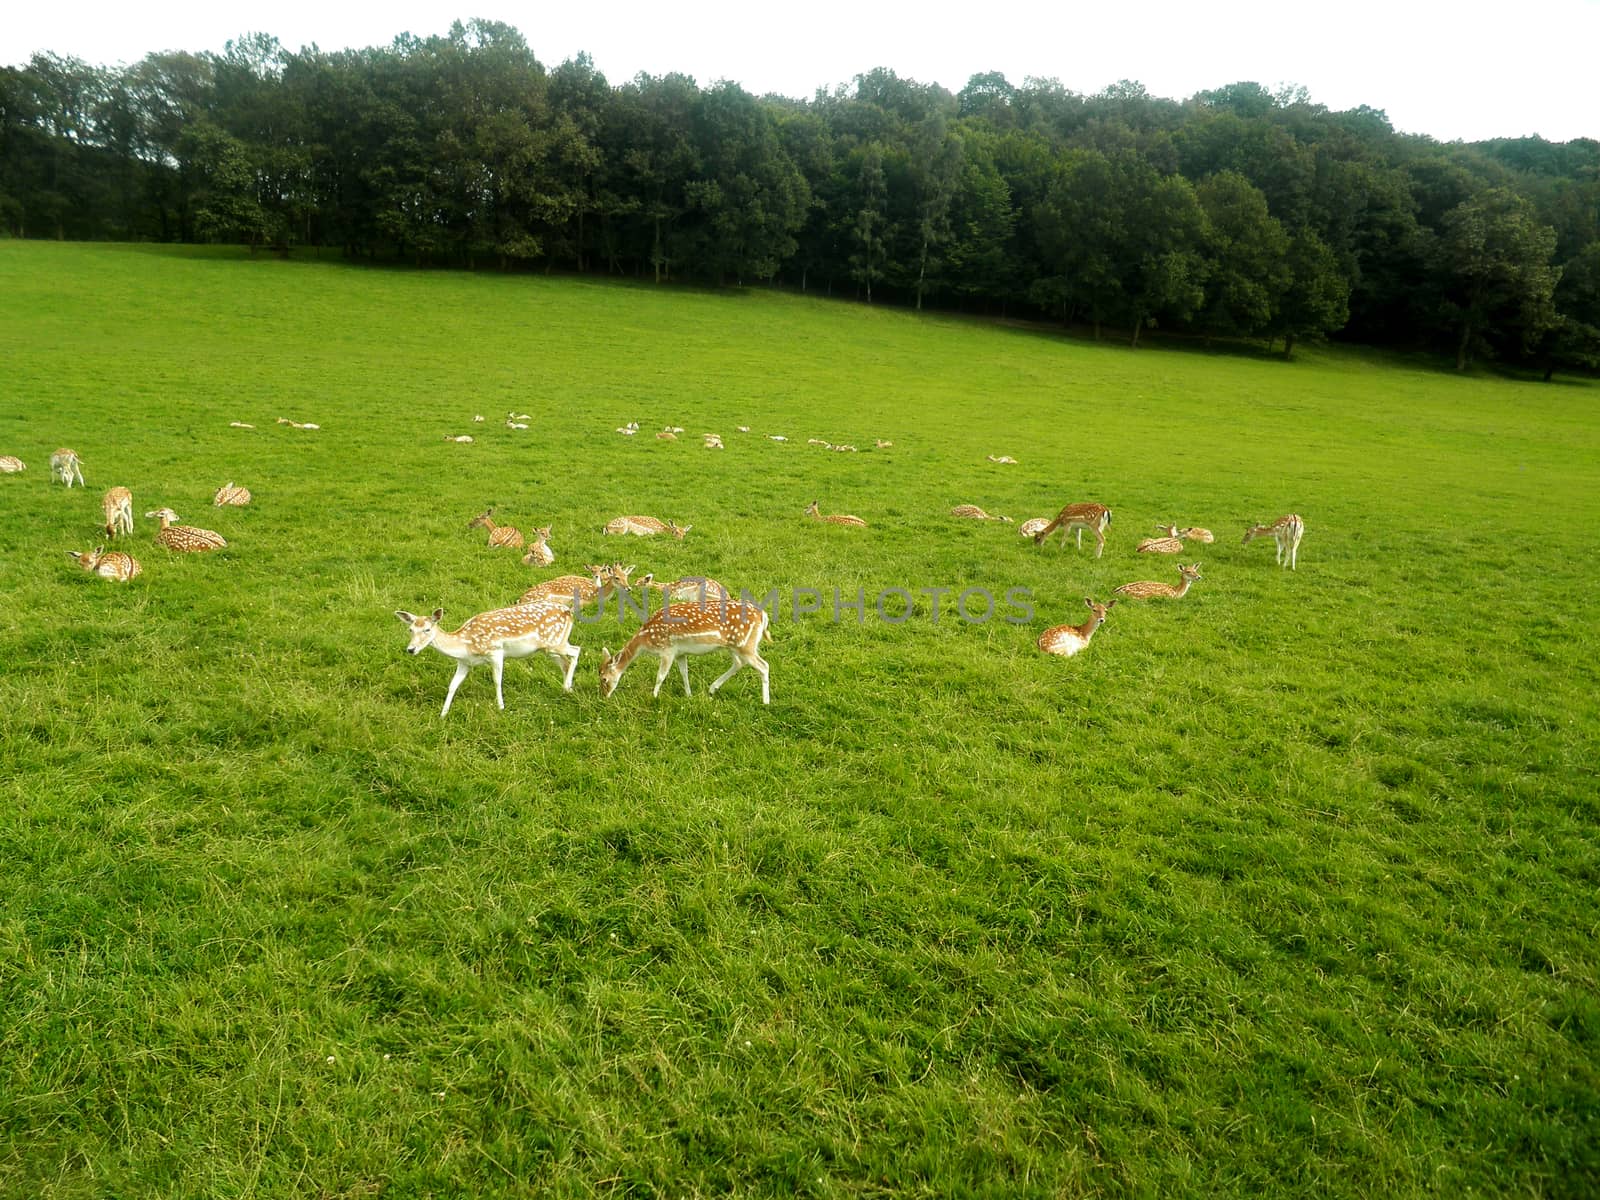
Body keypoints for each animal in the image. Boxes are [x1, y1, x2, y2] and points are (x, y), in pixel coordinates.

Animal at [396, 604, 585, 720]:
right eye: (410, 629)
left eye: (427, 629)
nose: (411, 649)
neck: (465, 644)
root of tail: (569, 612)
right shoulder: (464, 662)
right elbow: (452, 685)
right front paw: (443, 714)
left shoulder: (496, 652)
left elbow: (496, 680)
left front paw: (501, 707)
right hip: (549, 648)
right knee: (566, 662)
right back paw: (568, 689)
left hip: (554, 643)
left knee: (576, 650)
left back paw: (566, 687)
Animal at [601, 601, 774, 704]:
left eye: (604, 679)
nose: (604, 696)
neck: (646, 639)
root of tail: (763, 616)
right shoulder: (680, 653)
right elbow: (684, 672)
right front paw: (689, 694)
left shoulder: (667, 650)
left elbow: (660, 676)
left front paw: (654, 696)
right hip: (733, 645)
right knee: (739, 663)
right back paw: (712, 688)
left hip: (745, 644)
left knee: (764, 665)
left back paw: (765, 701)